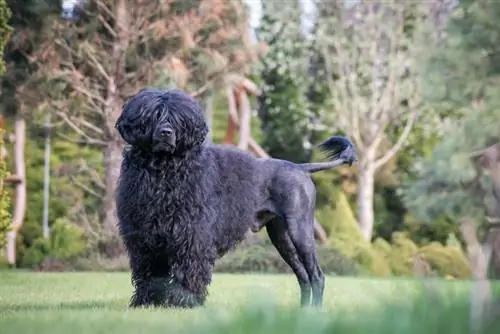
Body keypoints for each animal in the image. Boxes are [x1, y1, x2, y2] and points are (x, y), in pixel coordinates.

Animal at [114, 87, 356, 310]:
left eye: (177, 119)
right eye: (154, 115)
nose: (166, 132)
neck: (164, 170)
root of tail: (300, 167)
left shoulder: (192, 236)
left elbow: (188, 270)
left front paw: (185, 301)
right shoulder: (145, 238)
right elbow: (150, 274)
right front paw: (148, 302)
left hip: (300, 230)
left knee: (316, 275)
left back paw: (315, 311)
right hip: (282, 236)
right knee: (303, 276)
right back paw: (303, 311)